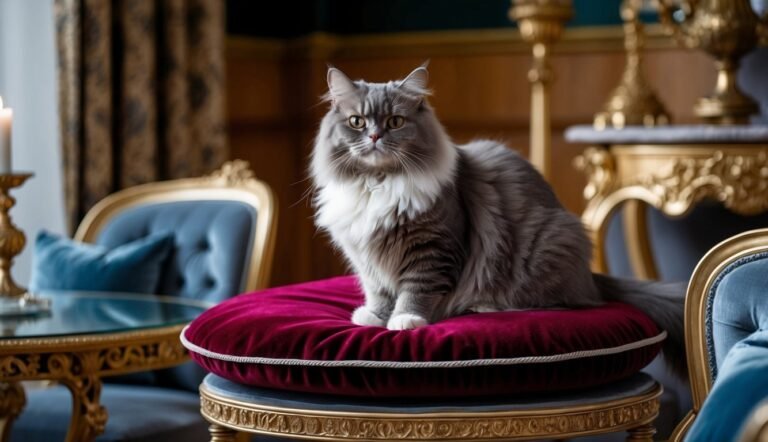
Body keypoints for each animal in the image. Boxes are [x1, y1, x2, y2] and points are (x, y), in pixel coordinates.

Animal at [308, 64, 688, 376]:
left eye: (395, 122)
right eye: (357, 122)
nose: (375, 137)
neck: (378, 183)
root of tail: (591, 277)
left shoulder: (432, 249)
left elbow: (416, 289)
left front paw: (405, 320)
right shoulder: (366, 257)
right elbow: (378, 290)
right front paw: (373, 316)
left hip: (546, 246)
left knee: (555, 301)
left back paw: (483, 305)